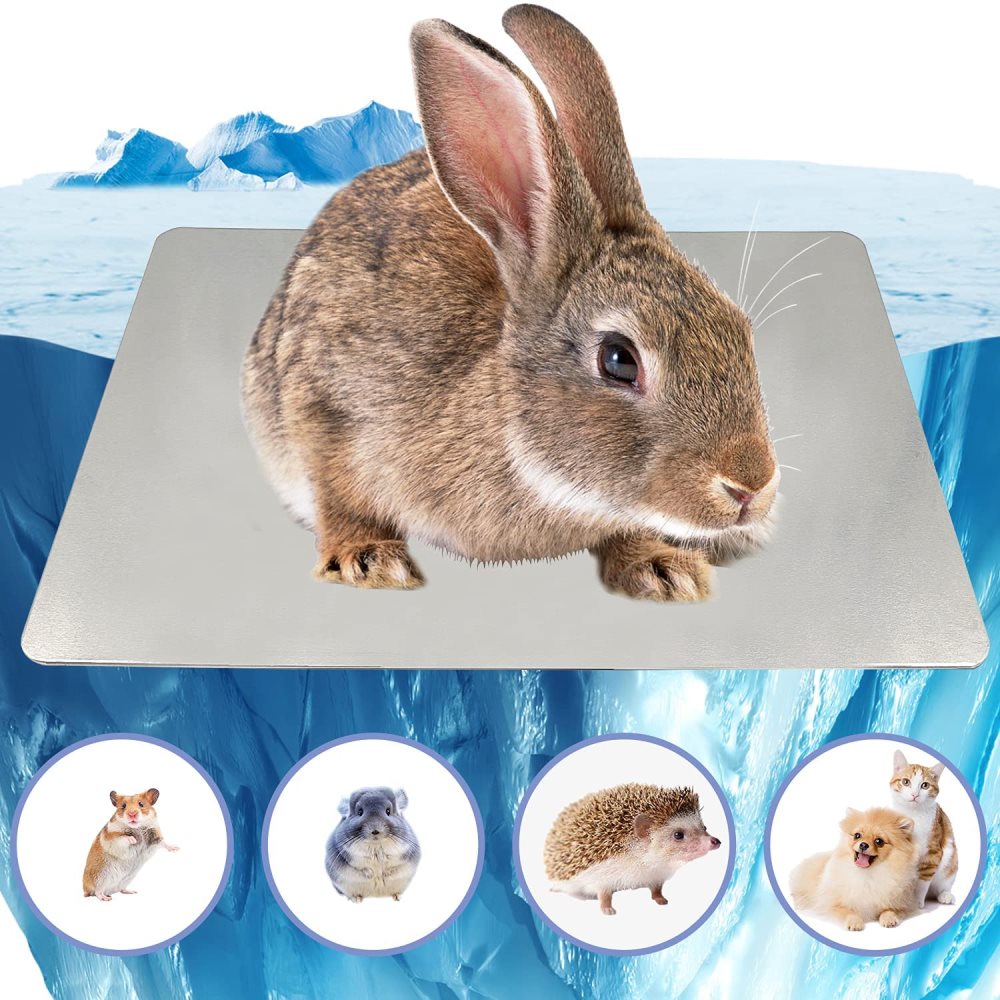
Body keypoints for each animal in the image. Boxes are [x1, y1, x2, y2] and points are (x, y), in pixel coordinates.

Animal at [240, 4, 779, 602]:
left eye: (739, 329)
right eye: (619, 360)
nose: (751, 485)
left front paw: (664, 568)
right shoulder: (325, 406)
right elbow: (339, 497)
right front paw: (369, 561)